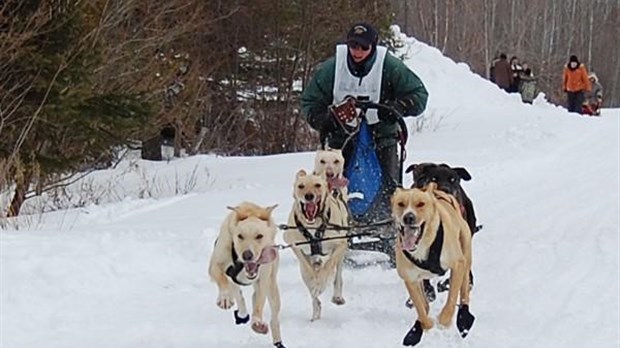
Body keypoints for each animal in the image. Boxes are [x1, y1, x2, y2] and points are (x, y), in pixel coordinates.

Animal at [208, 203, 286, 346]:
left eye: (259, 236)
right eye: (240, 236)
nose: (247, 255)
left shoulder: (263, 279)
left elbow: (259, 302)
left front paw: (257, 322)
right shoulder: (215, 265)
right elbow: (222, 279)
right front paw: (225, 297)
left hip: (273, 289)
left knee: (273, 316)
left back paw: (277, 339)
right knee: (238, 295)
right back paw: (242, 313)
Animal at [282, 169, 346, 320]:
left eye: (317, 185)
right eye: (301, 186)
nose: (309, 196)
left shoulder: (340, 244)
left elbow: (328, 266)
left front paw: (321, 283)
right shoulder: (296, 247)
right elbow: (308, 270)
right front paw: (314, 283)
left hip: (341, 254)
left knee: (337, 275)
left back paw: (336, 296)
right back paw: (316, 313)